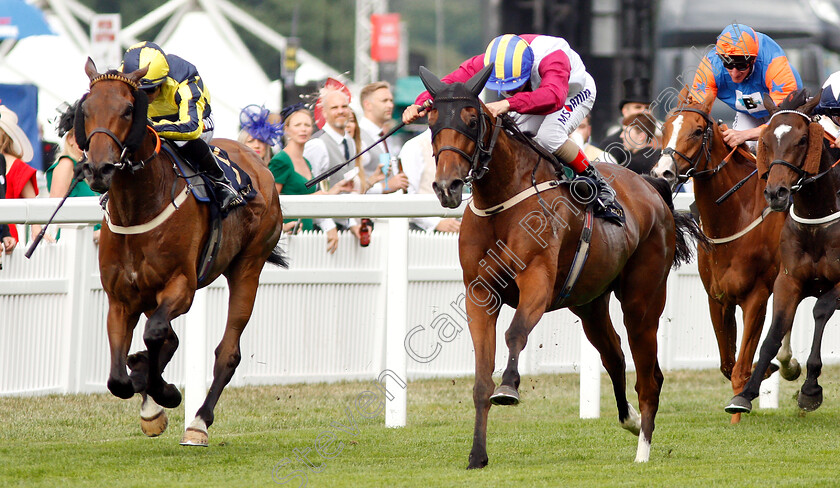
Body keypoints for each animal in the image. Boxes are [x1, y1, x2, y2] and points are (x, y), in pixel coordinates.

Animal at [78, 58, 286, 446]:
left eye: (128, 110)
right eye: (86, 110)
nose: (99, 169)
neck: (137, 208)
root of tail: (258, 160)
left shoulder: (181, 286)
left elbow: (154, 334)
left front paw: (165, 392)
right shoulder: (121, 298)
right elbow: (118, 378)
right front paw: (147, 397)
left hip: (249, 266)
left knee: (227, 352)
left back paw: (199, 421)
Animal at [420, 63, 704, 468]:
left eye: (472, 120)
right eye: (431, 121)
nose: (448, 185)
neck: (502, 198)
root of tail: (654, 189)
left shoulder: (536, 280)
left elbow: (516, 333)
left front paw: (509, 387)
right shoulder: (480, 293)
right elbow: (480, 378)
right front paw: (477, 455)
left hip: (642, 300)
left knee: (649, 374)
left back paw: (643, 450)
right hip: (589, 303)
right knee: (614, 355)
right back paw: (630, 419)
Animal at [648, 87, 800, 424]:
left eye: (697, 130)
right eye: (664, 128)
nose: (662, 172)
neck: (735, 214)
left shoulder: (757, 295)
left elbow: (742, 365)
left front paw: (739, 409)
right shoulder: (717, 297)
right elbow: (728, 364)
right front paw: (766, 370)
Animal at [728, 89, 840, 414]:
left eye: (803, 140)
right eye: (766, 140)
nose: (776, 193)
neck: (817, 217)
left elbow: (820, 310)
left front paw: (811, 388)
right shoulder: (788, 280)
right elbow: (774, 332)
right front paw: (746, 393)